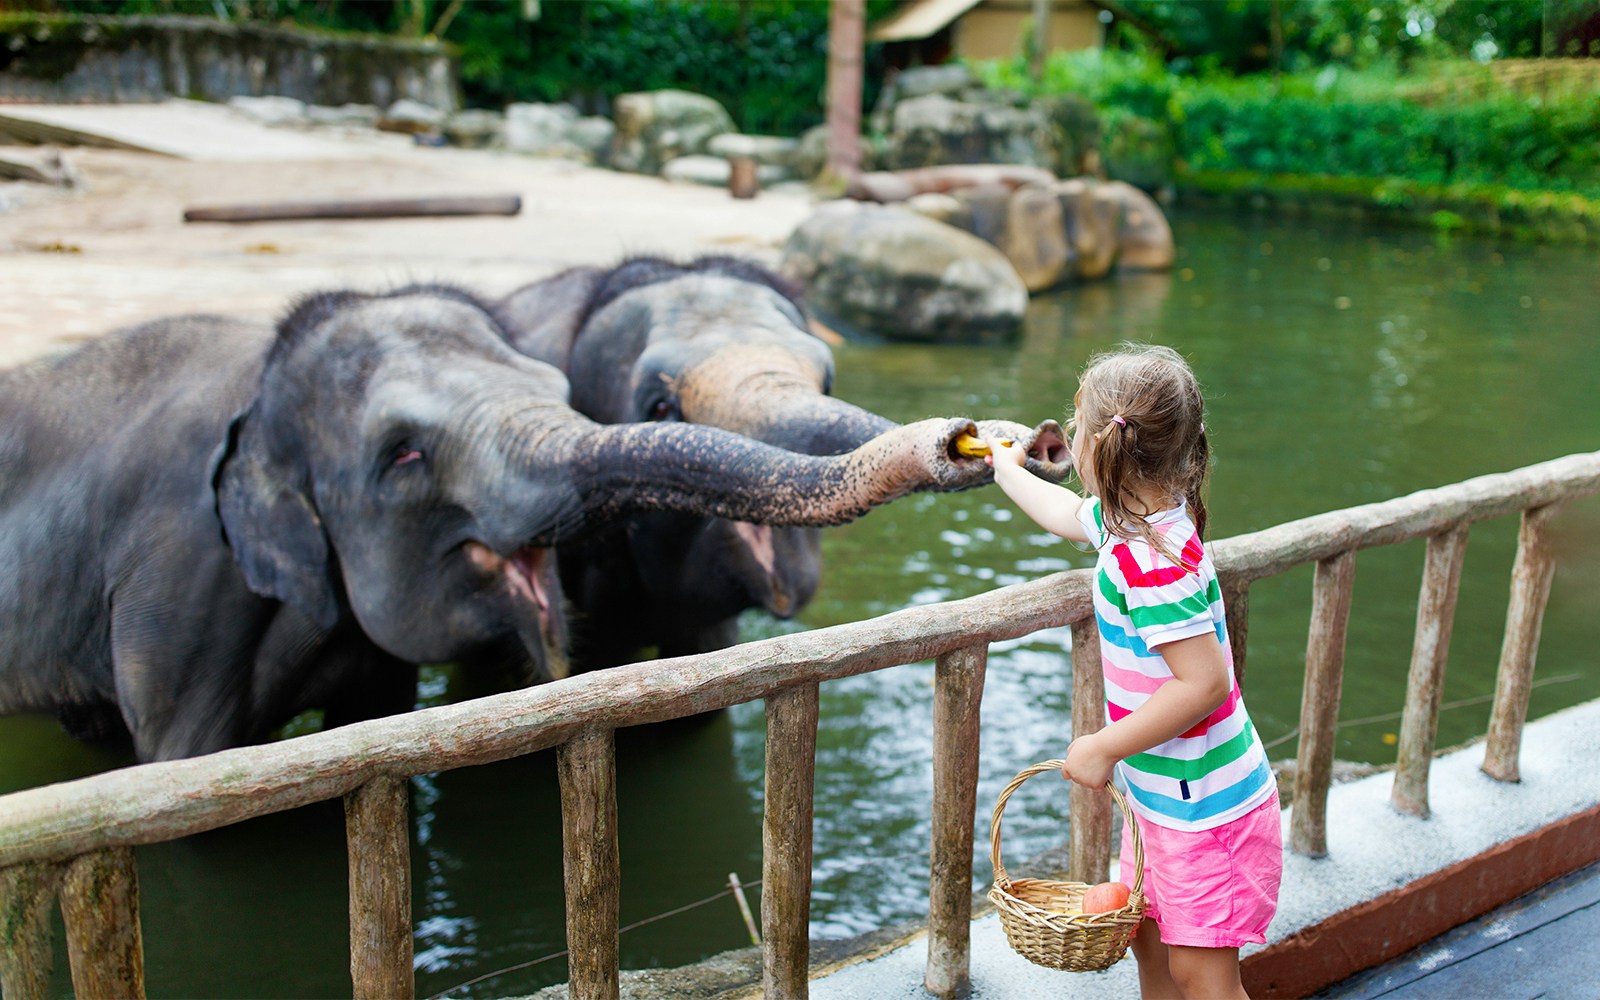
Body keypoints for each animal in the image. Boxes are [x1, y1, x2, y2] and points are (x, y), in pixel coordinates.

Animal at [0, 281, 1024, 755]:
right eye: (403, 455)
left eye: (551, 386)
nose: (971, 438)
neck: (264, 384)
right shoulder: (181, 579)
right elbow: (191, 764)